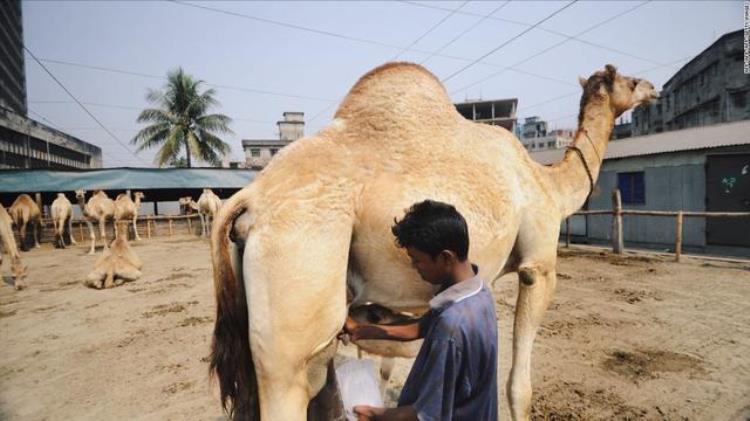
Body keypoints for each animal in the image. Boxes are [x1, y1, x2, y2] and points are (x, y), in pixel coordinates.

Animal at [207, 63, 656, 420]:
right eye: (631, 81)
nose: (654, 88)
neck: (548, 184)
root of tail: (249, 199)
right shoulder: (538, 264)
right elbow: (518, 386)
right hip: (300, 265)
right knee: (294, 380)